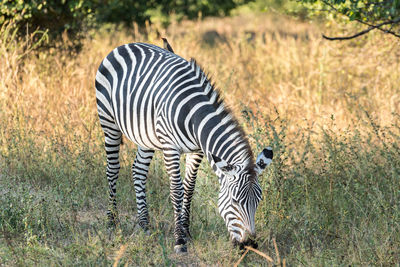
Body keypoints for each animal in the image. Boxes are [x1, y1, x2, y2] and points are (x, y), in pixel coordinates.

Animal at [95, 41, 274, 253]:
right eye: (235, 201)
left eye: (259, 201)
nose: (250, 245)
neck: (194, 114)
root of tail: (128, 44)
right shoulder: (170, 147)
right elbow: (176, 190)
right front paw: (179, 239)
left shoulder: (197, 150)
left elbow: (189, 188)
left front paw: (186, 231)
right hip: (108, 122)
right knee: (112, 170)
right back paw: (111, 222)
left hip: (144, 135)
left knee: (138, 170)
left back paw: (145, 224)